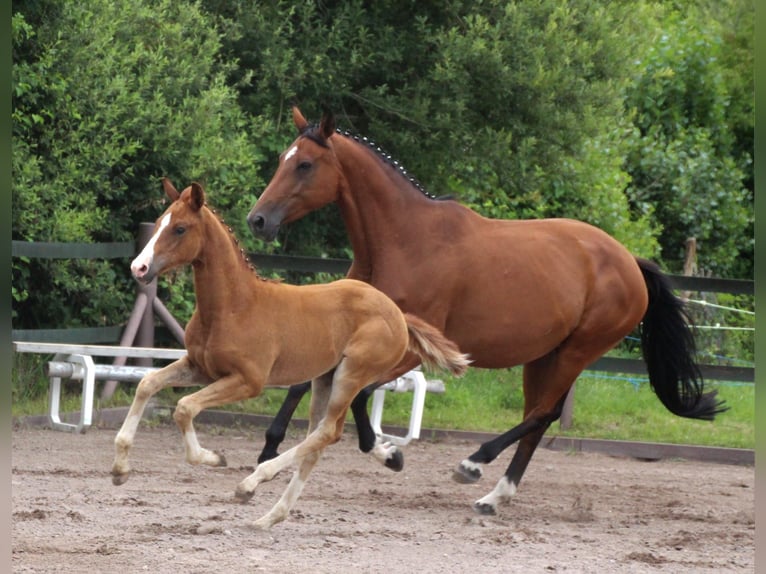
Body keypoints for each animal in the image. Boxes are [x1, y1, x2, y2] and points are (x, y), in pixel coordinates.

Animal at [110, 178, 470, 529]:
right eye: (158, 222)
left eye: (180, 228)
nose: (139, 267)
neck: (234, 306)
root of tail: (398, 314)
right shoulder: (200, 367)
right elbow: (147, 384)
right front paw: (119, 471)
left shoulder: (248, 381)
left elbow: (185, 407)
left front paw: (213, 458)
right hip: (325, 377)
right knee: (319, 439)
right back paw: (269, 517)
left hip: (352, 374)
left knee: (327, 432)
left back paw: (251, 484)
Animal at [246, 106, 727, 516]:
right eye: (283, 159)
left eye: (305, 165)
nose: (258, 220)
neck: (402, 242)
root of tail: (630, 262)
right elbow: (302, 386)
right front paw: (268, 451)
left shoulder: (412, 350)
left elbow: (361, 398)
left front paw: (389, 454)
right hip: (544, 356)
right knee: (540, 418)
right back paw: (495, 496)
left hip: (578, 352)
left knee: (541, 414)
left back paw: (475, 465)